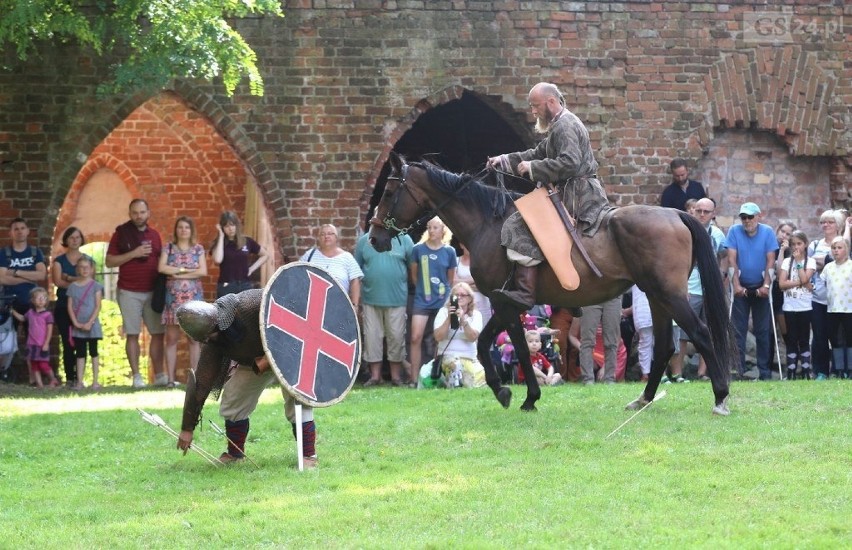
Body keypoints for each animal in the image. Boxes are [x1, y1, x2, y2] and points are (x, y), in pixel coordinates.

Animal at [370, 153, 736, 416]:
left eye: (389, 191)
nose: (374, 237)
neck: (486, 223)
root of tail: (676, 214)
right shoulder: (508, 305)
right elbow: (510, 346)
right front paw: (525, 395)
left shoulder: (504, 302)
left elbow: (494, 345)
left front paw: (510, 393)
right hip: (656, 297)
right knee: (664, 347)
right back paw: (644, 399)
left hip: (670, 295)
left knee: (701, 333)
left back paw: (720, 397)